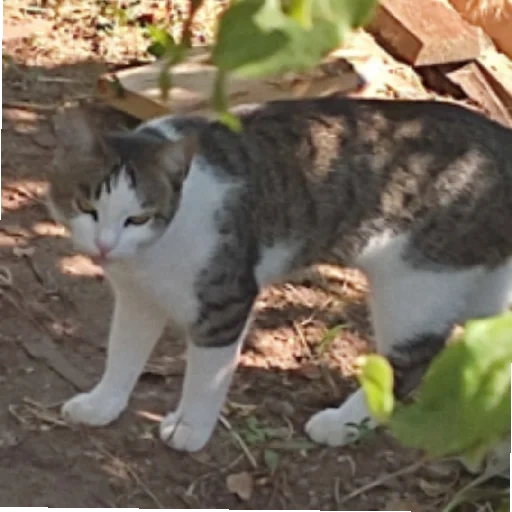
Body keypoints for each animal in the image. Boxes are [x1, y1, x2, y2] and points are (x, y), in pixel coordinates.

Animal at [47, 98, 512, 454]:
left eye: (138, 218)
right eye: (87, 207)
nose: (104, 246)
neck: (152, 253)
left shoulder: (226, 302)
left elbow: (207, 377)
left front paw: (191, 428)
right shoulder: (138, 299)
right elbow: (123, 355)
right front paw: (103, 404)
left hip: (415, 287)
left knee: (410, 365)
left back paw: (341, 424)